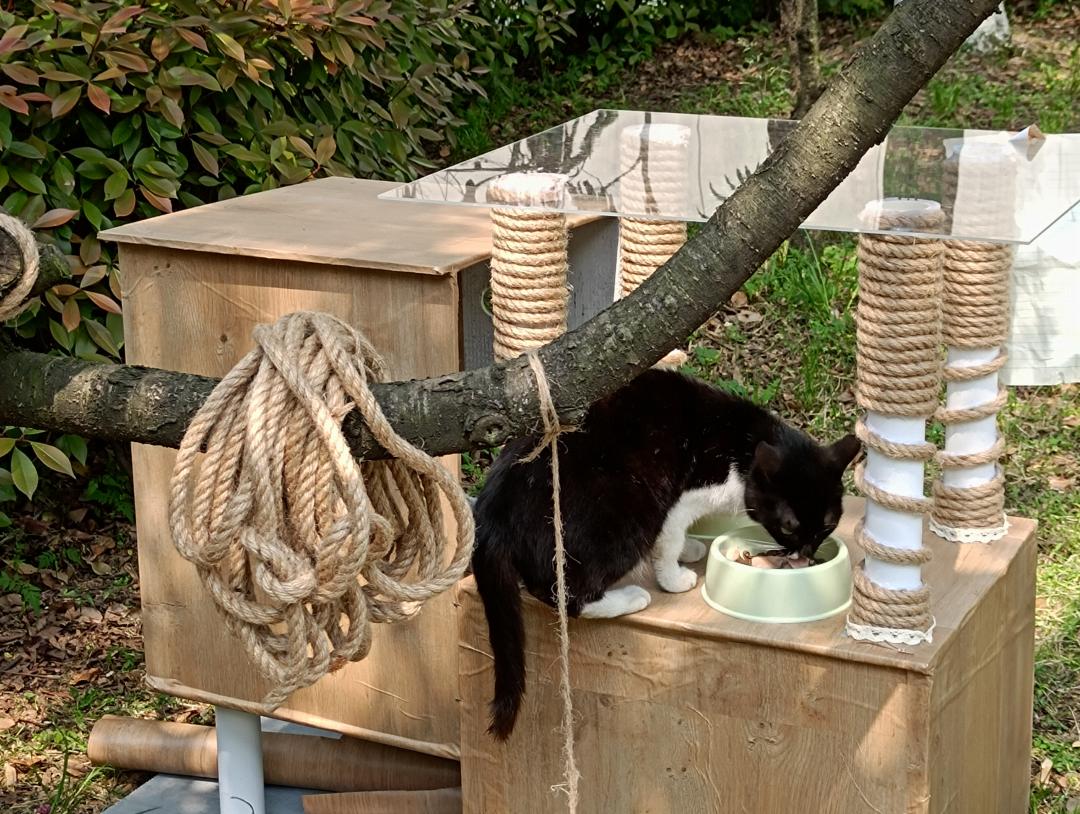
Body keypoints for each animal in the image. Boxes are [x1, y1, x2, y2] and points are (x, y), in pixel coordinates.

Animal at [471, 368, 861, 740]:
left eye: (828, 525)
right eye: (790, 526)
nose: (805, 553)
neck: (744, 449)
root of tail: (491, 511)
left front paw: (691, 548)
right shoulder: (685, 496)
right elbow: (670, 536)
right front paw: (674, 576)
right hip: (630, 511)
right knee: (563, 593)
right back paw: (630, 597)